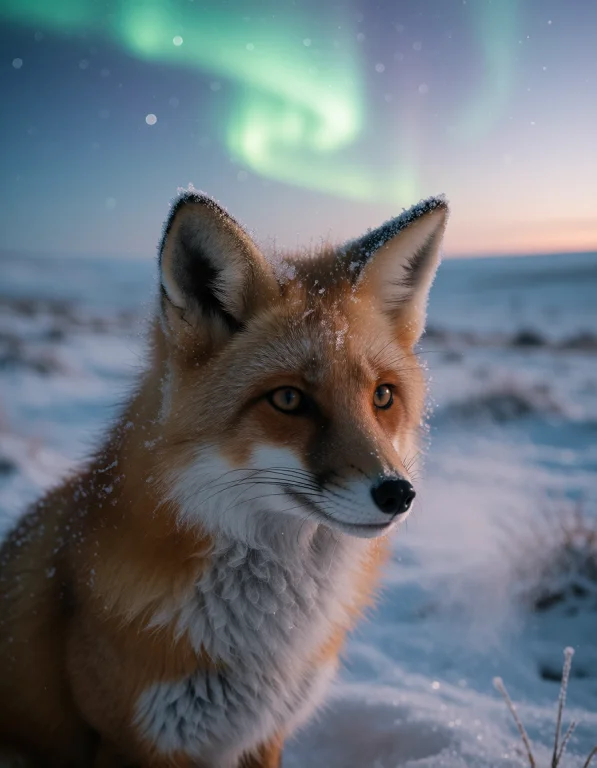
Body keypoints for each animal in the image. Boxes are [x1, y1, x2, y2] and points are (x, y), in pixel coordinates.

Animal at [0, 190, 448, 767]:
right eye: (288, 399)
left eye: (383, 396)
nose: (398, 493)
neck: (268, 647)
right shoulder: (136, 741)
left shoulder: (265, 736)